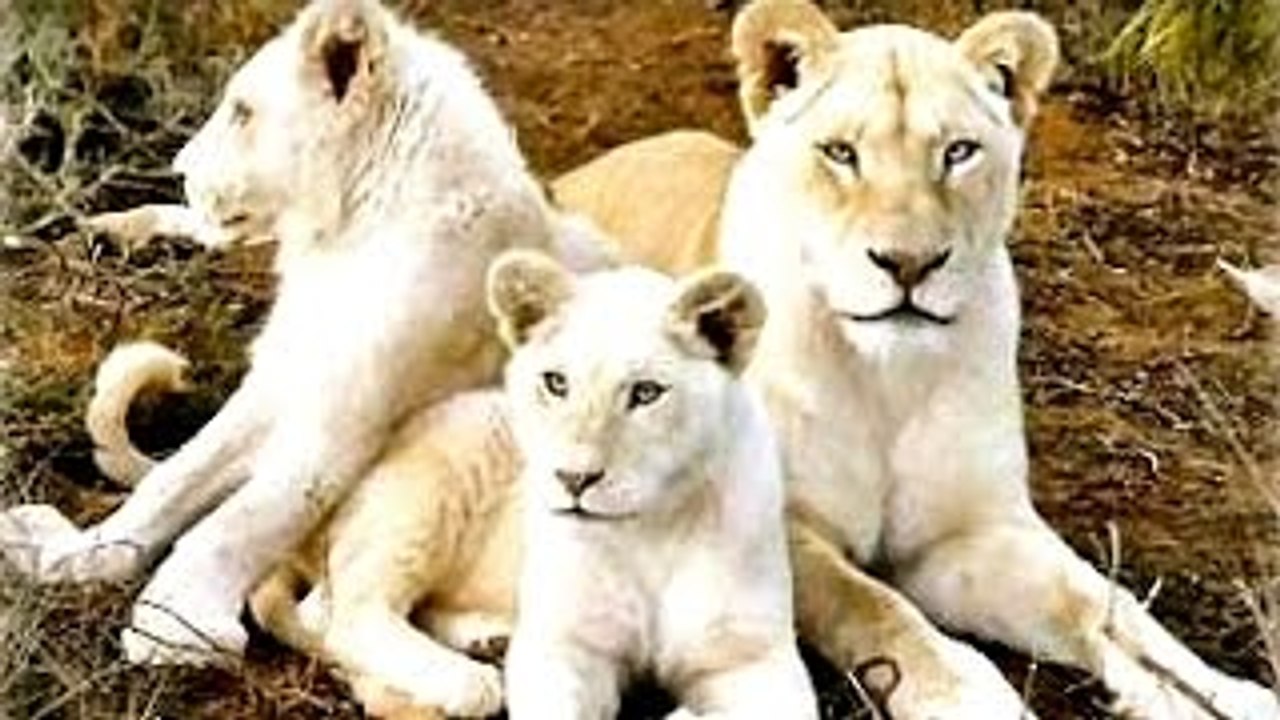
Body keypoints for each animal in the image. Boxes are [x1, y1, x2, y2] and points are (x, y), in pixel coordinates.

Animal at [0, 0, 608, 666]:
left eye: (243, 112)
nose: (179, 170)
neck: (349, 232)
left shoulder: (340, 419)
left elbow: (240, 522)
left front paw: (172, 625)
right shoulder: (284, 376)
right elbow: (176, 477)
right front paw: (67, 555)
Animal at [550, 2, 1280, 718]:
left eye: (958, 152)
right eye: (840, 153)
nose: (909, 263)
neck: (887, 379)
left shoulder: (964, 535)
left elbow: (1102, 605)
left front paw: (1213, 694)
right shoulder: (778, 528)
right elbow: (877, 609)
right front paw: (969, 697)